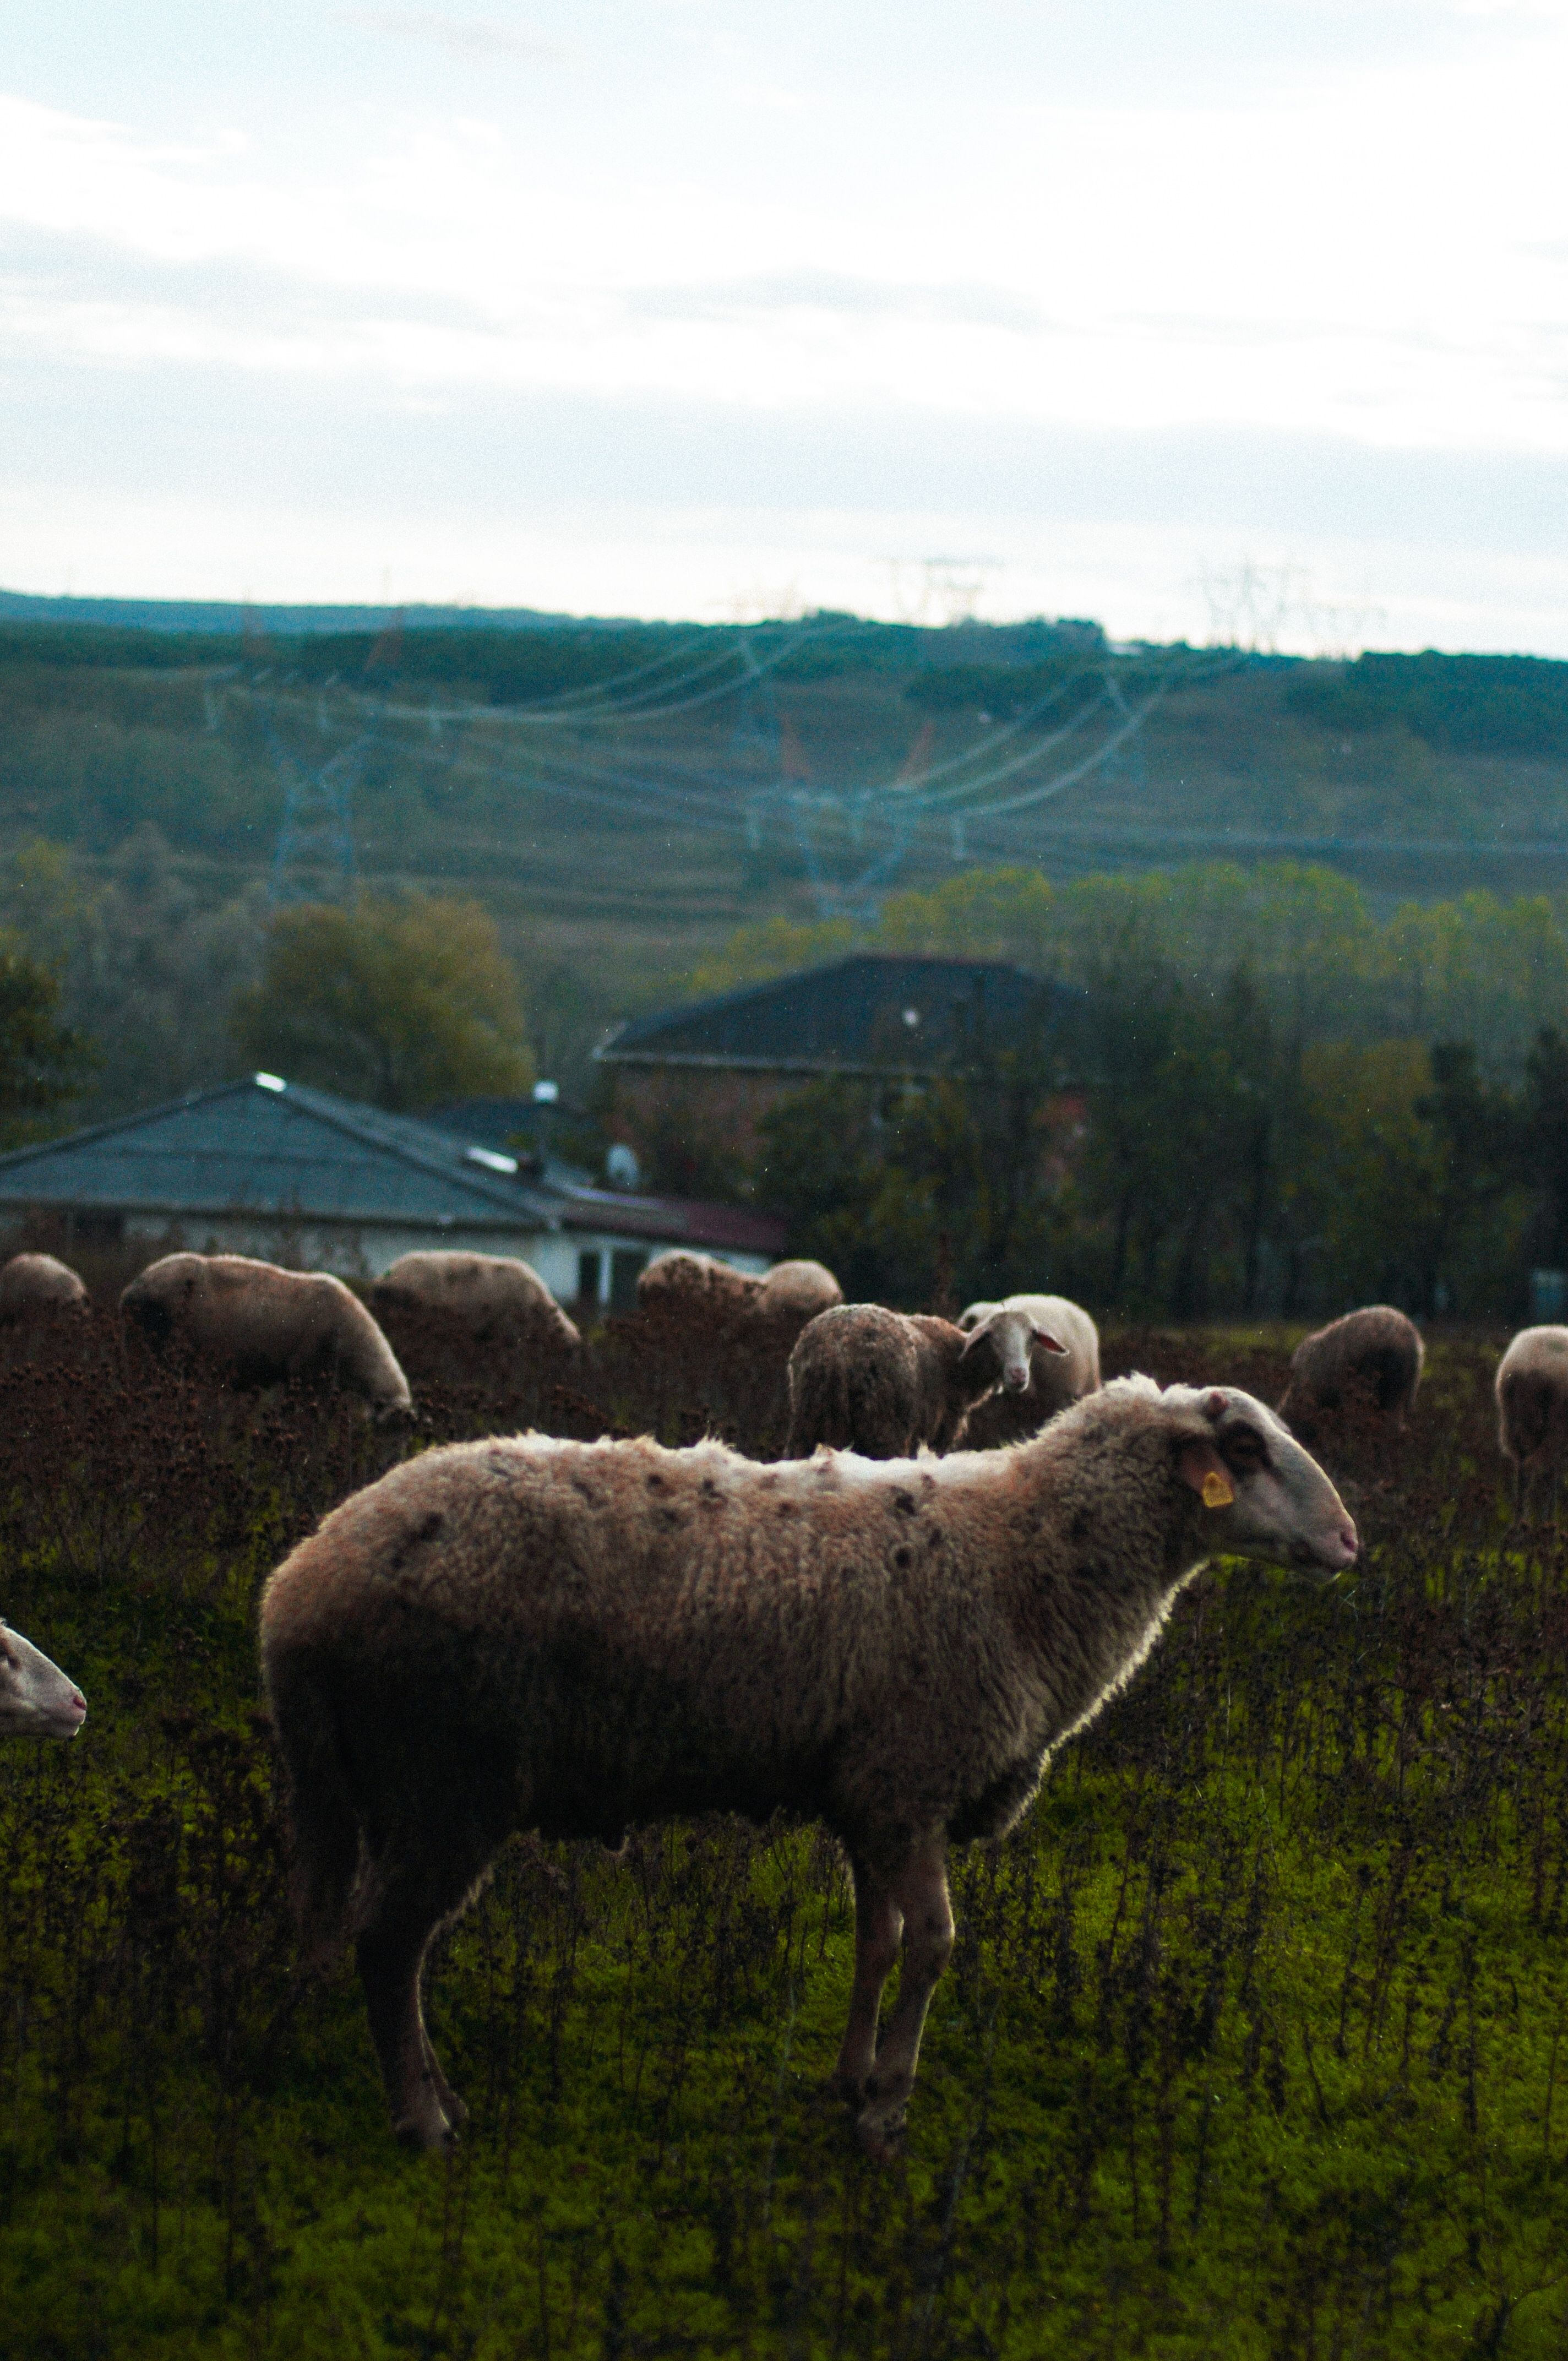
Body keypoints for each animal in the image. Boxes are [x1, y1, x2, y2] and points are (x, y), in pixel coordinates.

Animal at [260, 1376, 1356, 2158]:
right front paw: (885, 2114)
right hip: (447, 1777)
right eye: (1245, 1450)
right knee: (386, 1945)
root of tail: (298, 1589)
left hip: (378, 1788)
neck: (1024, 1558)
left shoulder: (869, 1795)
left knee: (371, 1941)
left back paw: (413, 2084)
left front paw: (849, 2078)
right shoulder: (914, 1779)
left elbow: (876, 1940)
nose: (1350, 1542)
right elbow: (933, 1944)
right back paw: (424, 2120)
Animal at [784, 1301, 1067, 1460]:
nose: (1019, 1374)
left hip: (807, 1422)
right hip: (884, 1428)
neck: (961, 1365)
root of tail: (838, 1349)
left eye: (1032, 1337)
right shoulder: (940, 1432)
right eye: (993, 1338)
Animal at [1496, 1325, 1568, 1519]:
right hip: (1553, 1427)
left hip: (1517, 1426)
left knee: (1524, 1477)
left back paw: (1520, 1524)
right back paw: (1547, 1523)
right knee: (1547, 1474)